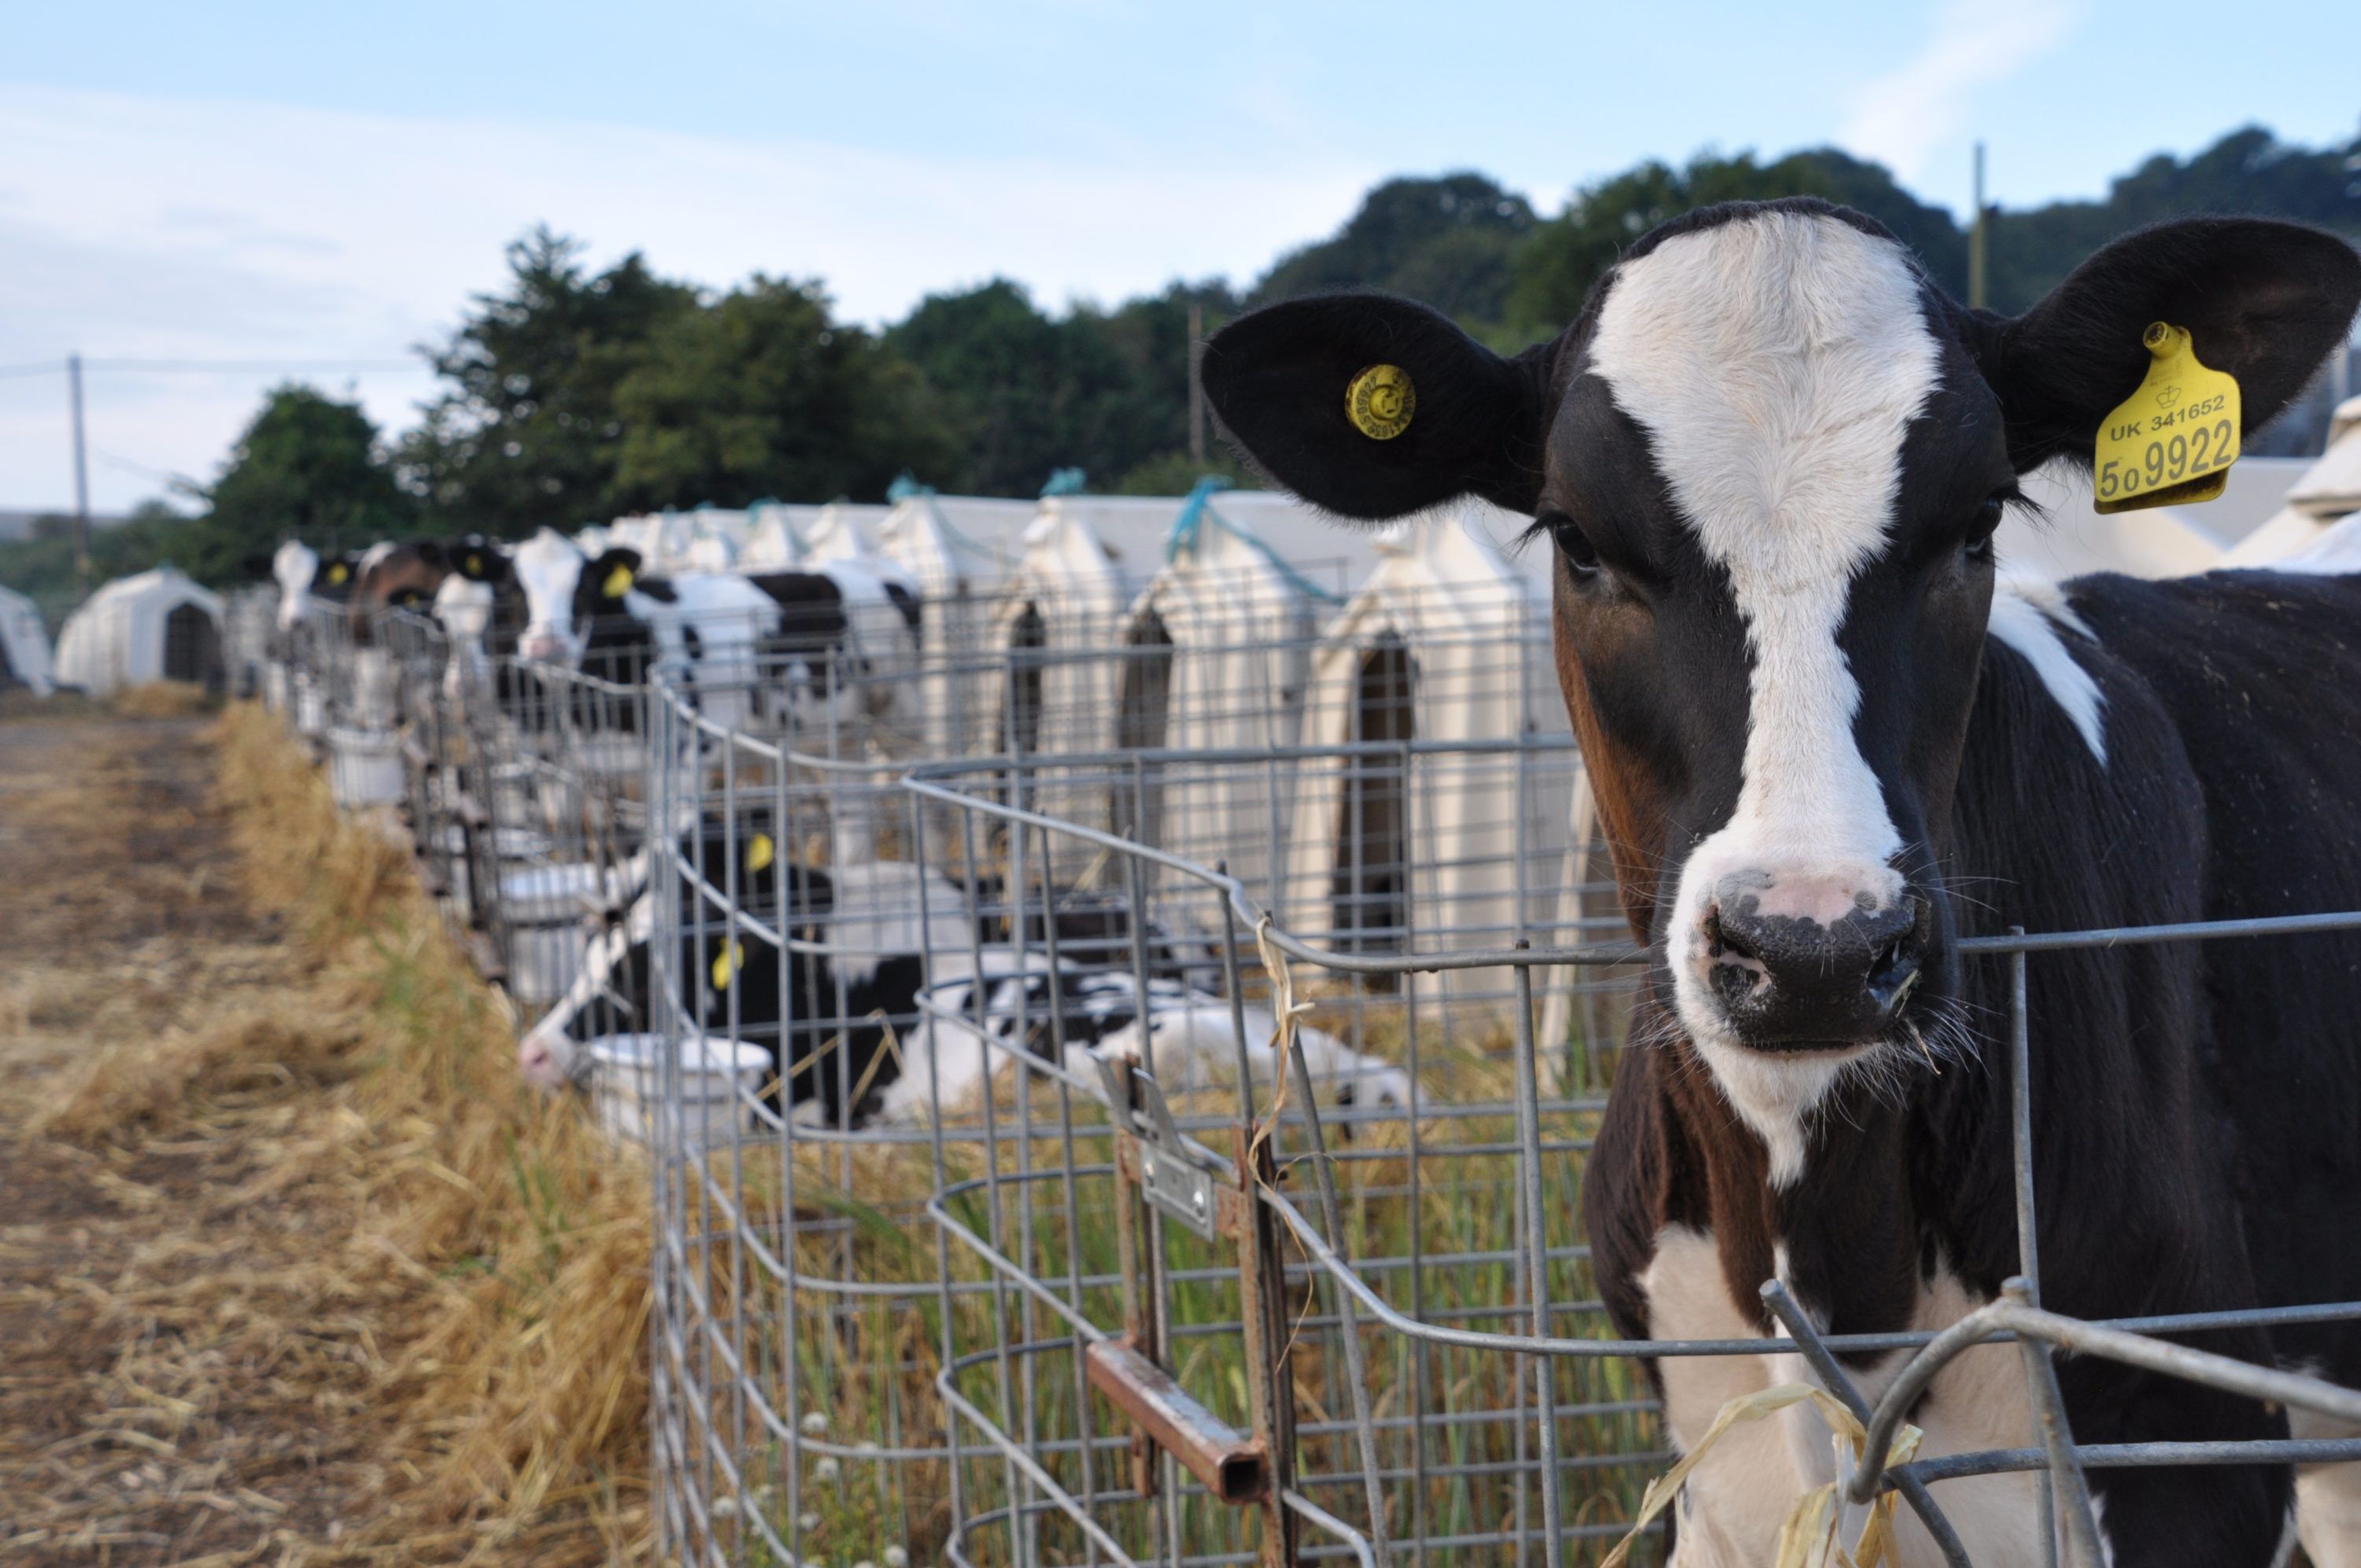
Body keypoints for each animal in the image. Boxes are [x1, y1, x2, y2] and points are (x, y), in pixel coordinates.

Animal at [1209, 205, 2361, 1568]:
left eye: (1980, 523)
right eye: (1578, 540)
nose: (1816, 949)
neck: (1827, 1263)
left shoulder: (2192, 1455)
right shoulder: (1721, 1478)